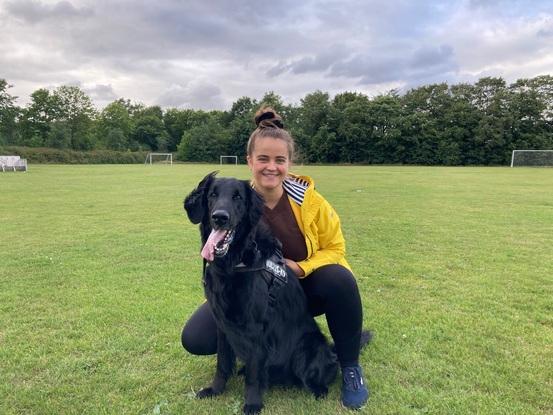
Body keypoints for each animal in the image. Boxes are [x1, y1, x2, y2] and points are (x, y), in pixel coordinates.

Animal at [184, 172, 336, 415]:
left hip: (307, 347)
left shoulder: (255, 329)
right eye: (212, 195)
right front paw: (215, 389)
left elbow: (255, 374)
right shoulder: (223, 325)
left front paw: (253, 403)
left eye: (237, 197)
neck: (234, 263)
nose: (220, 217)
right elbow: (222, 363)